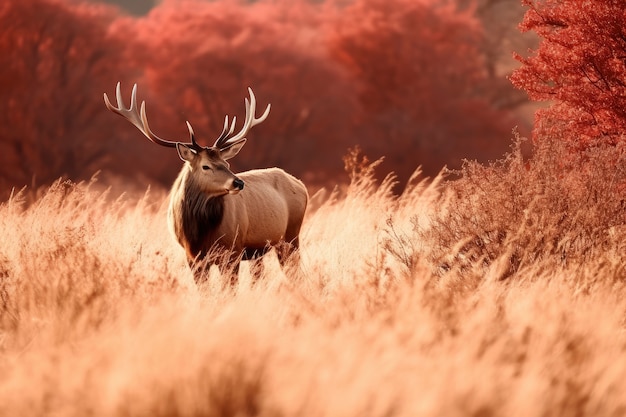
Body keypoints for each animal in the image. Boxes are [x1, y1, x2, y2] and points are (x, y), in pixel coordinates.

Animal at [105, 81, 310, 282]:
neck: (198, 235)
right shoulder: (192, 257)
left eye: (226, 163)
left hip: (291, 235)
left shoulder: (232, 250)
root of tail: (301, 185)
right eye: (205, 166)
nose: (238, 183)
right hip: (259, 251)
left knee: (295, 273)